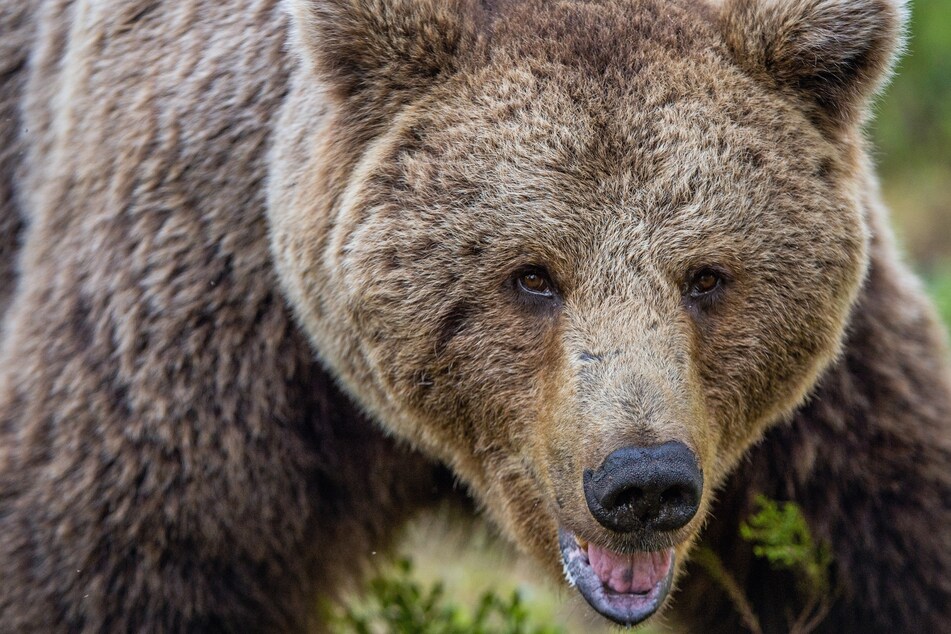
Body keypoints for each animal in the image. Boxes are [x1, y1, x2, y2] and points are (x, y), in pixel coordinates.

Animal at [0, 0, 948, 628]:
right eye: (531, 276)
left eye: (707, 276)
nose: (642, 482)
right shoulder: (207, 307)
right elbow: (116, 557)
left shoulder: (822, 415)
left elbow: (891, 526)